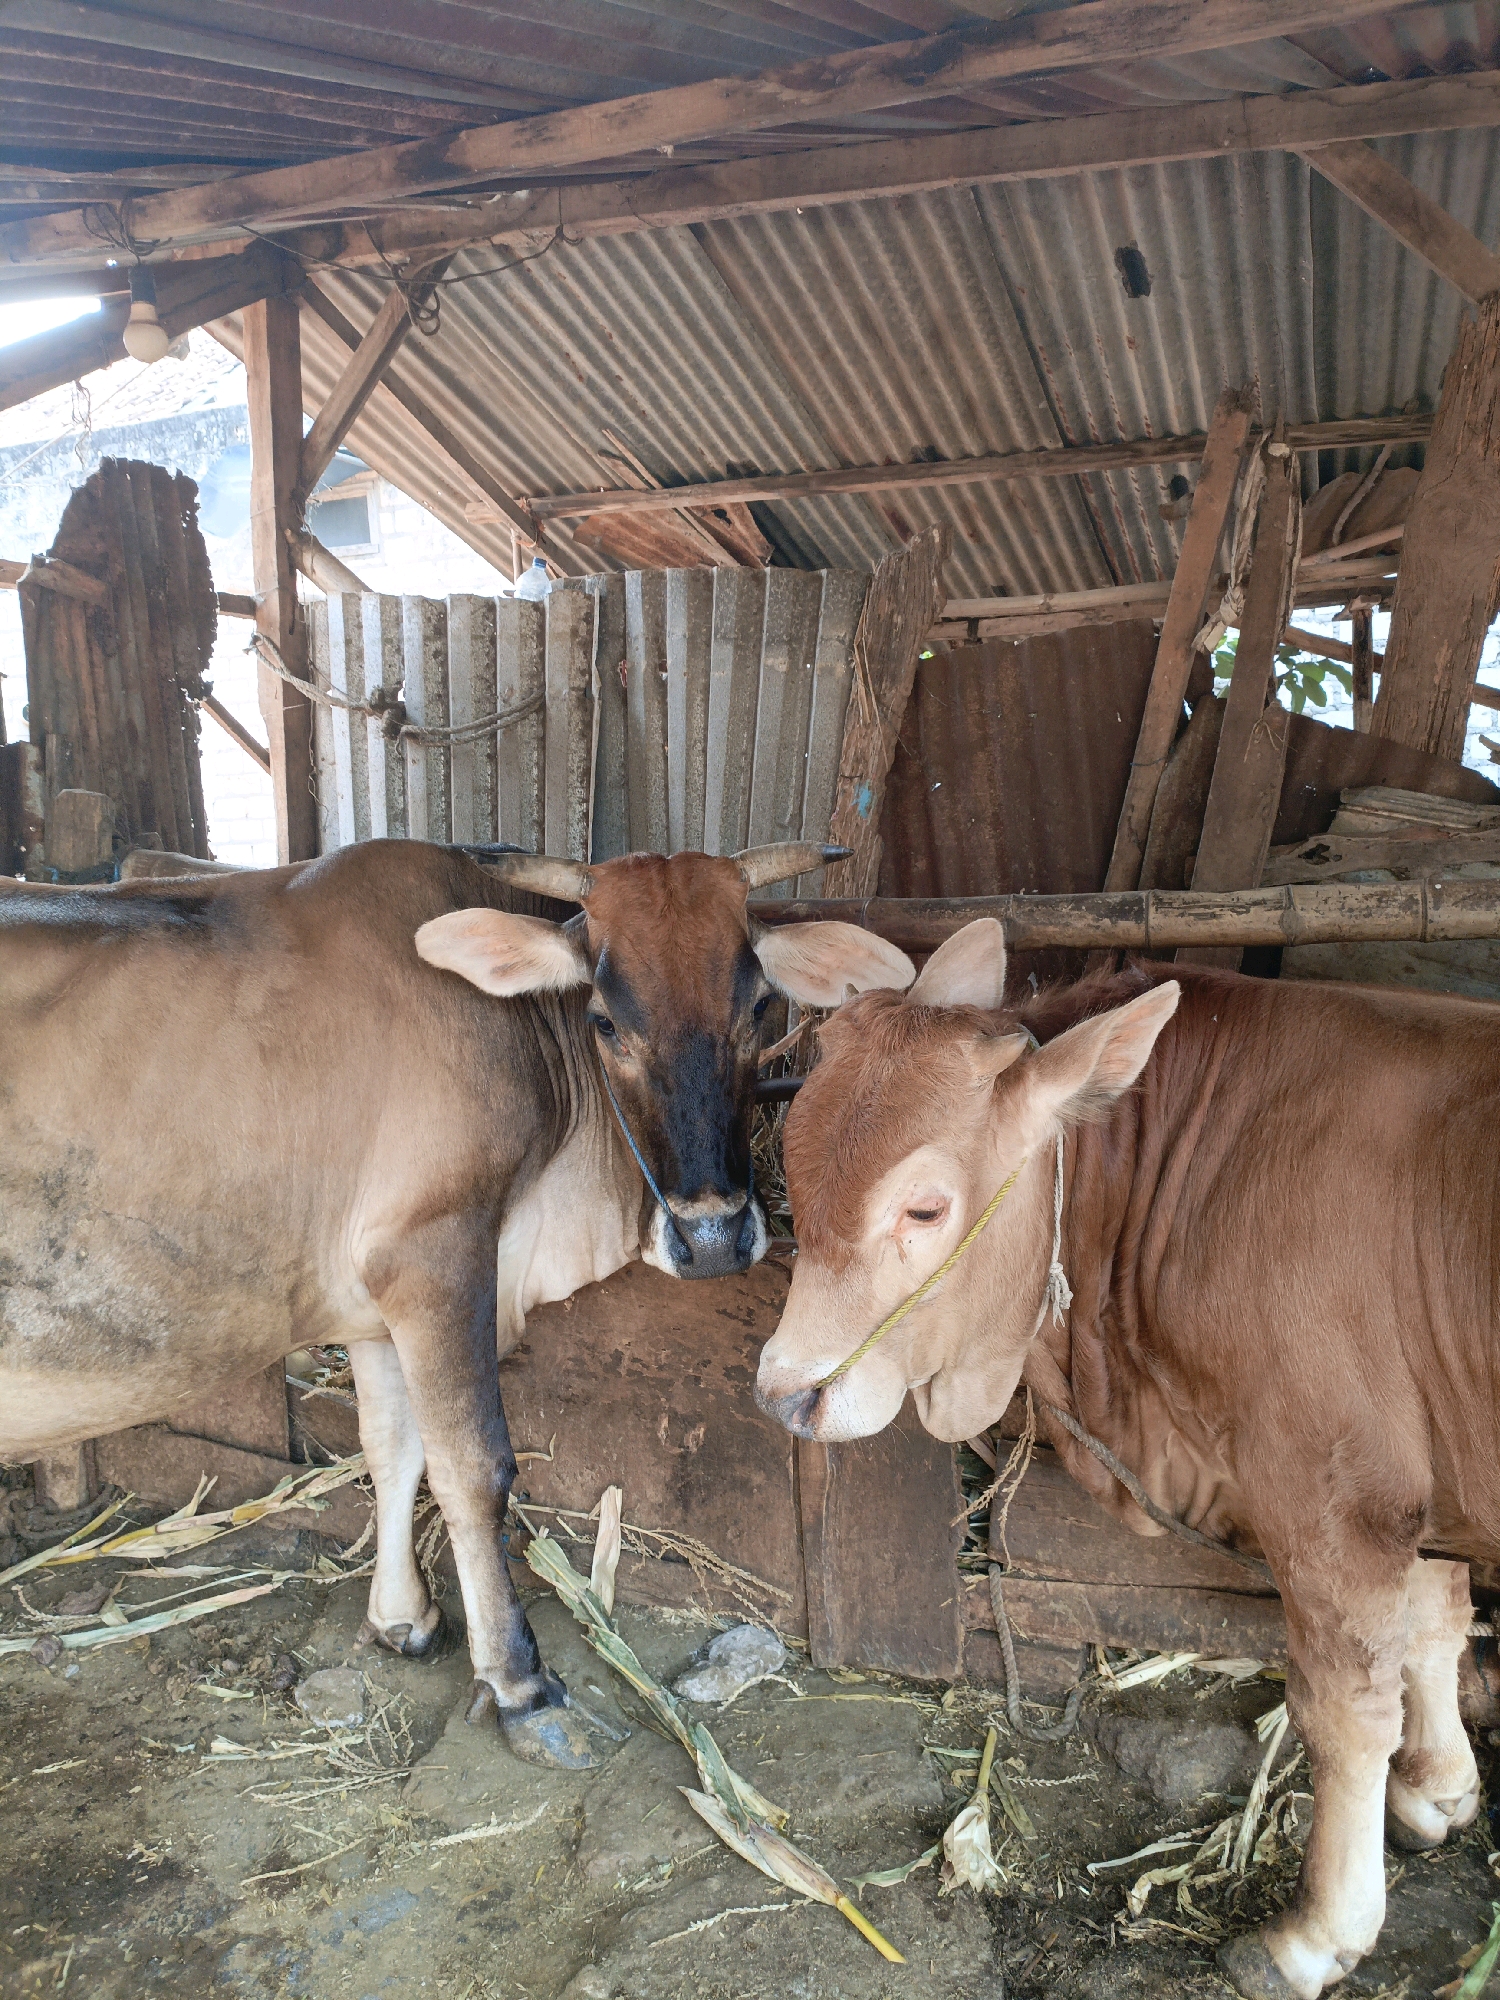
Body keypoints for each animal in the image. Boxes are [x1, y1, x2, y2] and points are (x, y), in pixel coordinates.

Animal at [0, 838, 913, 1767]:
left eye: (759, 1007)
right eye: (604, 1021)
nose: (717, 1235)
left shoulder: (377, 1299)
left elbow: (392, 1447)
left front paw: (401, 1617)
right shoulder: (437, 1256)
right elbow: (472, 1468)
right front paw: (519, 1683)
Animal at [755, 917, 1495, 1999]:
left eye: (925, 1209)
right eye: (794, 1162)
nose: (784, 1393)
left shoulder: (1336, 1492)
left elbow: (1348, 1710)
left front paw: (1318, 1931)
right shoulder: (1428, 1484)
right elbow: (1439, 1624)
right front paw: (1438, 1790)